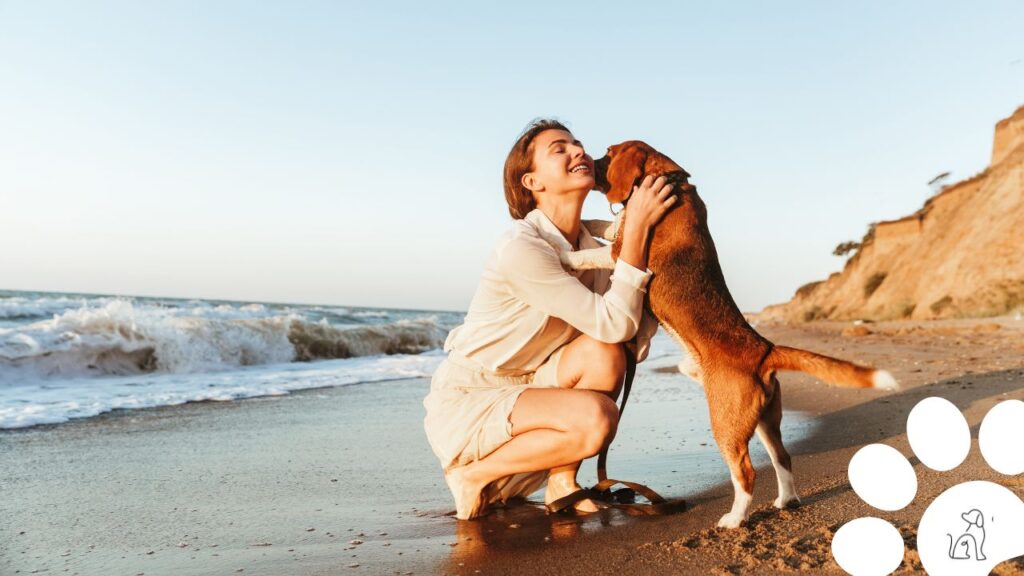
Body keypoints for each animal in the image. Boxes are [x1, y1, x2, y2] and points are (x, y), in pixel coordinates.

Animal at [561, 141, 897, 528]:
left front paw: (567, 257)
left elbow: (593, 251)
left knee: (746, 473)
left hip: (726, 424)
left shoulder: (621, 254)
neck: (671, 180)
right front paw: (584, 223)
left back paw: (735, 519)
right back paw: (787, 499)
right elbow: (606, 225)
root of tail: (764, 349)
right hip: (766, 420)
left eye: (608, 153)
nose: (587, 163)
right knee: (783, 458)